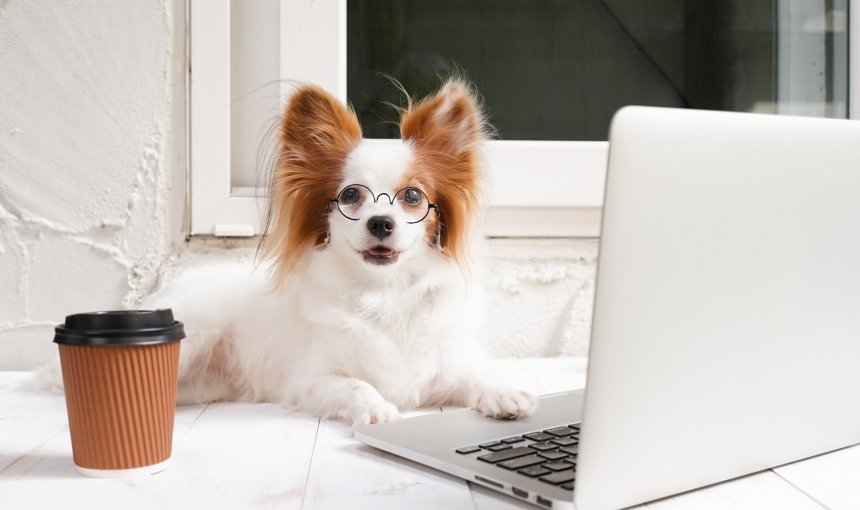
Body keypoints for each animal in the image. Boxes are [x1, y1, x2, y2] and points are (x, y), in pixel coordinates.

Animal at [139, 78, 532, 426]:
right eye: (350, 195)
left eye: (412, 196)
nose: (380, 222)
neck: (385, 293)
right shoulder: (307, 382)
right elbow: (357, 385)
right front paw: (378, 409)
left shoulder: (446, 363)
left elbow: (476, 373)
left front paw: (503, 392)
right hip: (196, 331)